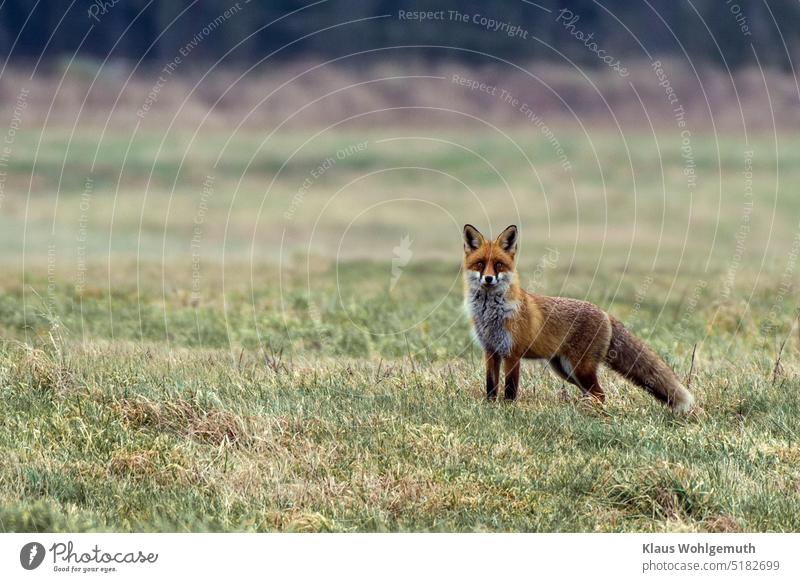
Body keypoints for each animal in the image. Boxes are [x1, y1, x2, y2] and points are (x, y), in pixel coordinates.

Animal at [462, 225, 692, 416]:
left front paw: (508, 411)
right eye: (480, 264)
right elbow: (491, 386)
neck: (491, 315)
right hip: (565, 369)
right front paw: (490, 408)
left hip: (579, 368)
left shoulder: (512, 353)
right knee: (593, 393)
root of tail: (605, 313)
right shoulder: (491, 351)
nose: (488, 279)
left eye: (499, 265)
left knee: (600, 394)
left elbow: (510, 389)